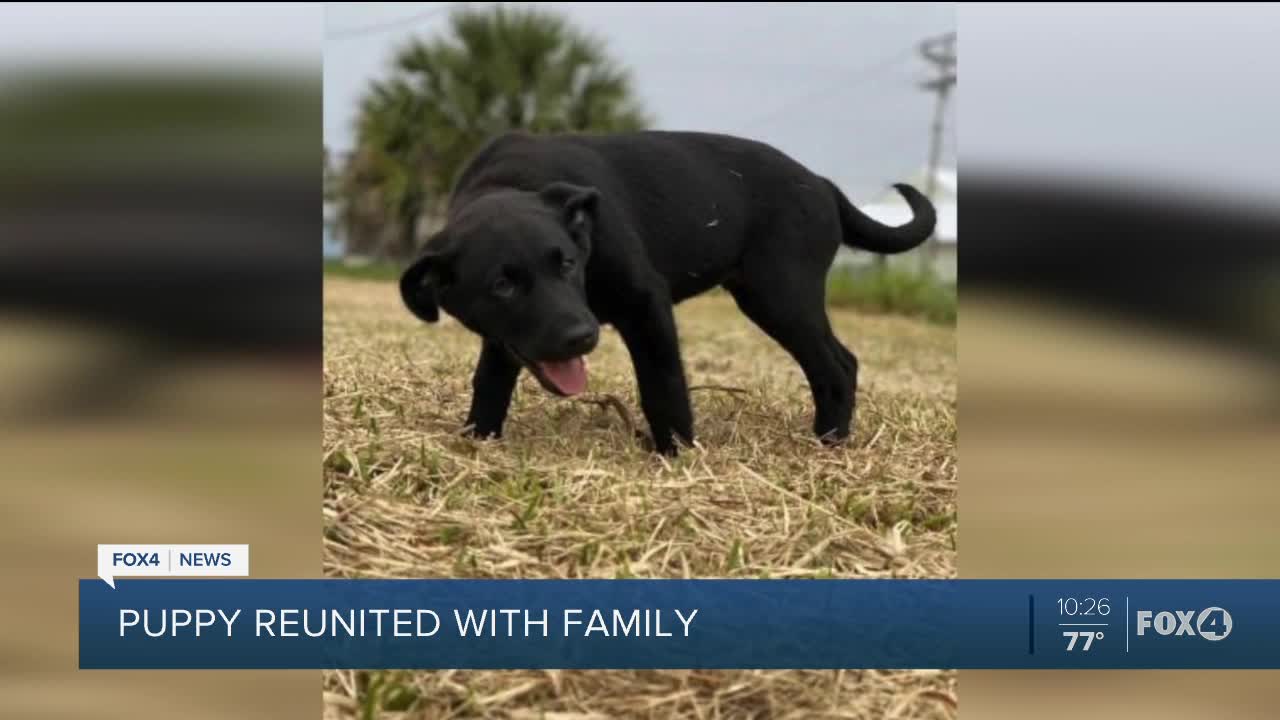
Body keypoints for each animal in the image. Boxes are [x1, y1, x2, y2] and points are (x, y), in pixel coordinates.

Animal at [404, 131, 936, 450]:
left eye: (568, 265)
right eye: (502, 286)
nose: (582, 336)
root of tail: (823, 185)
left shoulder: (646, 303)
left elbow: (663, 384)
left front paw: (676, 451)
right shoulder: (503, 340)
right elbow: (490, 381)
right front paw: (479, 438)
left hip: (781, 295)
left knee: (836, 364)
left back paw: (830, 440)